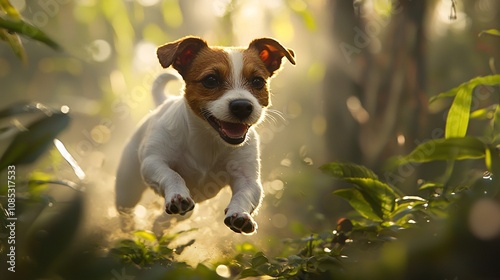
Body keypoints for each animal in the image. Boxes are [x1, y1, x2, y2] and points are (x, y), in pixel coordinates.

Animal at [115, 36, 294, 235]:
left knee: (179, 216)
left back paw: (160, 223)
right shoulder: (153, 162)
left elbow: (245, 194)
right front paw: (178, 195)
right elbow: (172, 175)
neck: (209, 139)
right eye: (210, 80)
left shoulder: (248, 179)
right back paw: (128, 230)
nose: (242, 106)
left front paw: (240, 215)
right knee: (126, 211)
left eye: (257, 82)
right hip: (127, 189)